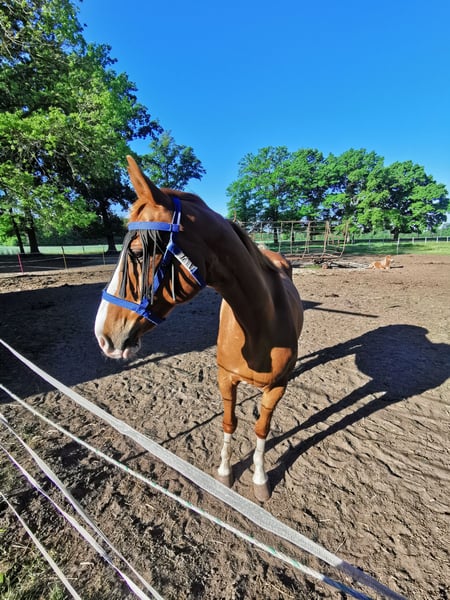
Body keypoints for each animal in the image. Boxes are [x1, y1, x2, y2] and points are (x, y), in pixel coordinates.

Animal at [95, 156, 303, 501]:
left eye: (137, 253)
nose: (103, 336)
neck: (259, 324)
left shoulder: (277, 388)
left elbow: (261, 428)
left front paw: (260, 479)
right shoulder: (225, 379)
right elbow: (229, 423)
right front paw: (224, 473)